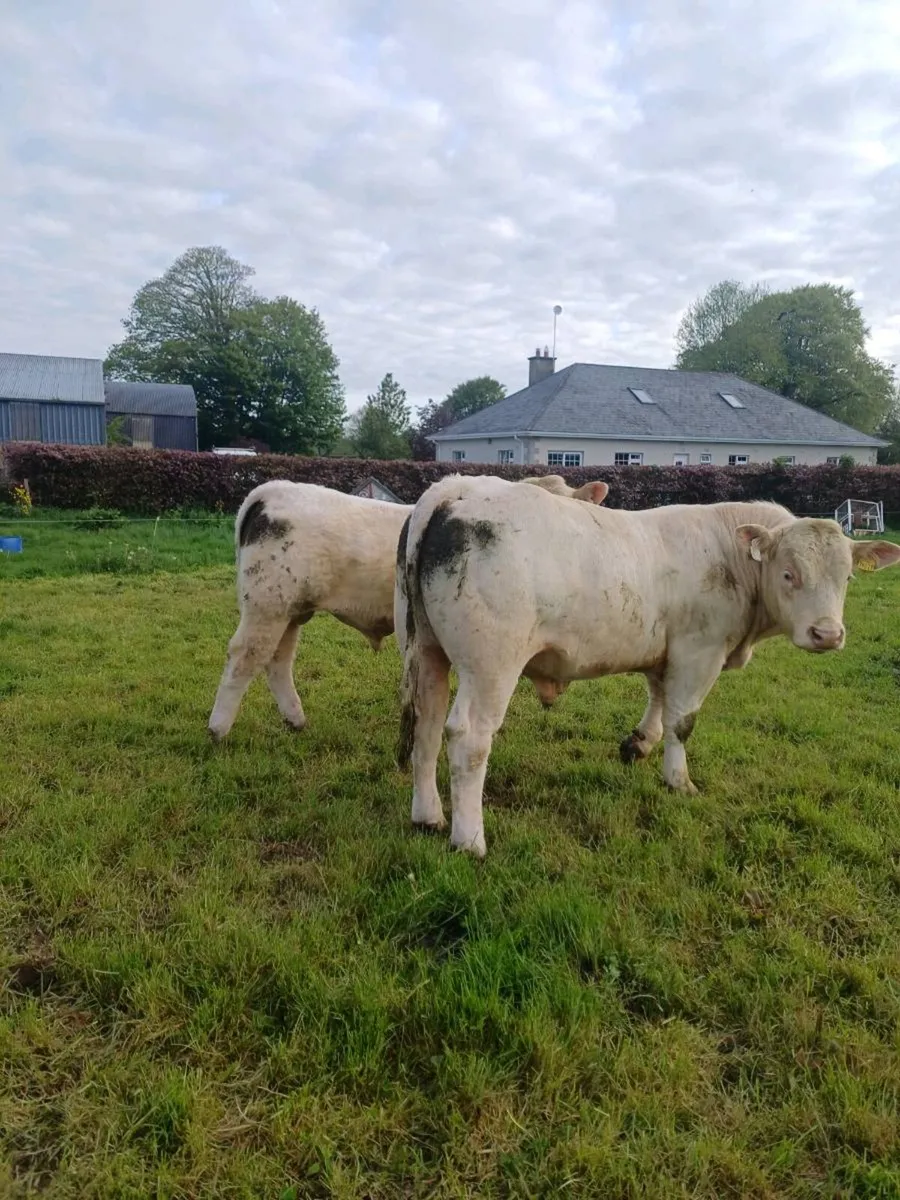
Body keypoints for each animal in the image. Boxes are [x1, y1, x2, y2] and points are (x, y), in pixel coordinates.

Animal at [208, 475, 608, 739]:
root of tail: (271, 490)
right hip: (267, 606)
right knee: (245, 656)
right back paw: (219, 728)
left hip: (290, 609)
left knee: (277, 659)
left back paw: (295, 719)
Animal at [396, 474, 900, 858]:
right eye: (789, 574)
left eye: (847, 577)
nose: (827, 634)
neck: (729, 556)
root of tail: (457, 487)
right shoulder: (700, 652)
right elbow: (682, 721)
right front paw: (678, 780)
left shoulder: (667, 654)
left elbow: (658, 701)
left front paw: (638, 743)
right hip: (491, 667)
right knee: (467, 739)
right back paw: (469, 839)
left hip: (427, 653)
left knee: (427, 727)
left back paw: (428, 816)